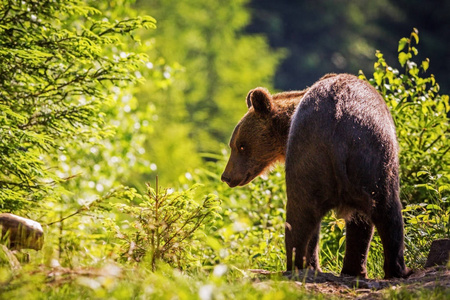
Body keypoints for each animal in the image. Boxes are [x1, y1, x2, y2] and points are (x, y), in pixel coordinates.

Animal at [221, 73, 412, 278]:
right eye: (234, 145)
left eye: (241, 146)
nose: (226, 176)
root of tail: (337, 131)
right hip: (369, 157)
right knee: (388, 211)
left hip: (329, 159)